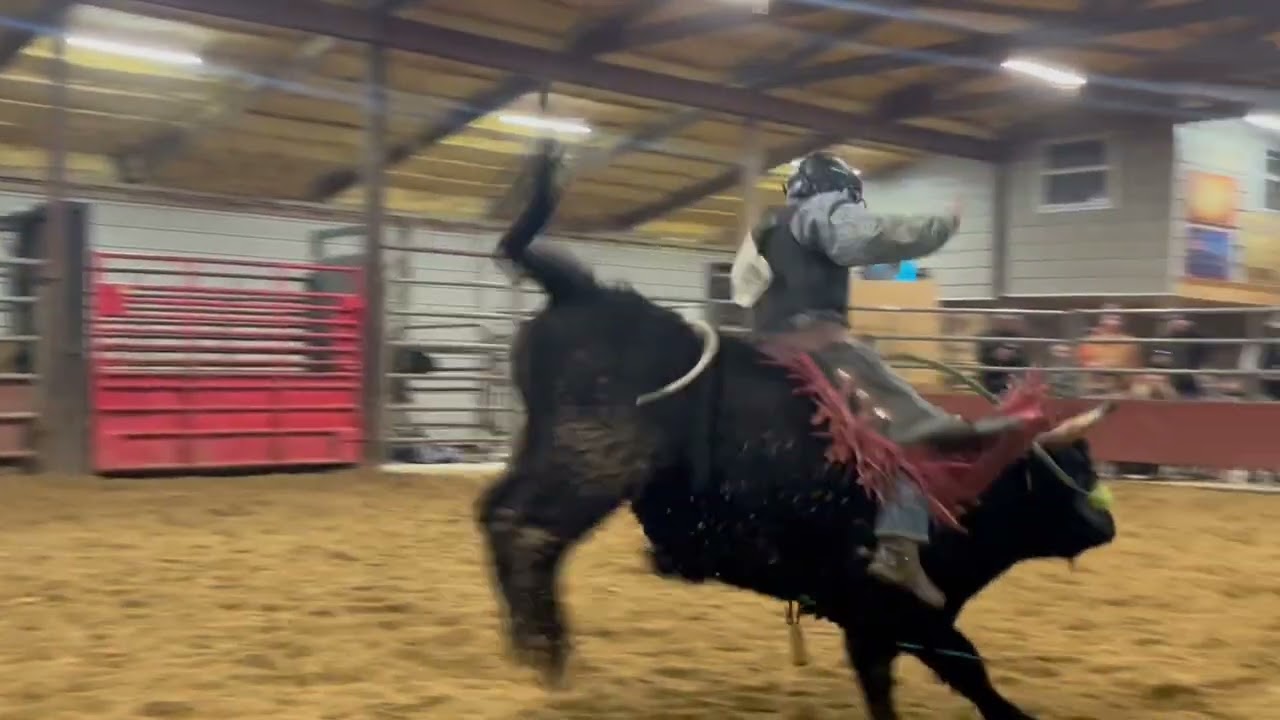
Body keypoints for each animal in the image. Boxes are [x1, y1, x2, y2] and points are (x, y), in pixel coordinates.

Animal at [477, 144, 1117, 720]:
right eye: (1069, 473)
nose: (1105, 523)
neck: (965, 484)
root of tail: (578, 291)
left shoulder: (875, 627)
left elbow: (890, 688)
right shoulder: (903, 615)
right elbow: (974, 676)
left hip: (557, 450)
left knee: (501, 515)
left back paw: (533, 644)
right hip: (592, 458)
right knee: (523, 527)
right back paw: (546, 648)